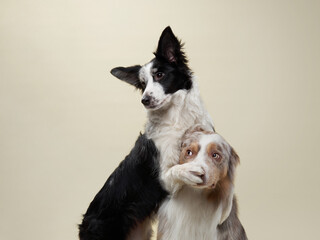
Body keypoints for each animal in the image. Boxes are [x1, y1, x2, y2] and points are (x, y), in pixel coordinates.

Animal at [79, 27, 218, 239]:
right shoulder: (163, 180)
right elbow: (176, 169)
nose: (144, 100)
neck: (177, 117)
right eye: (143, 84)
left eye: (160, 74)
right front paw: (190, 169)